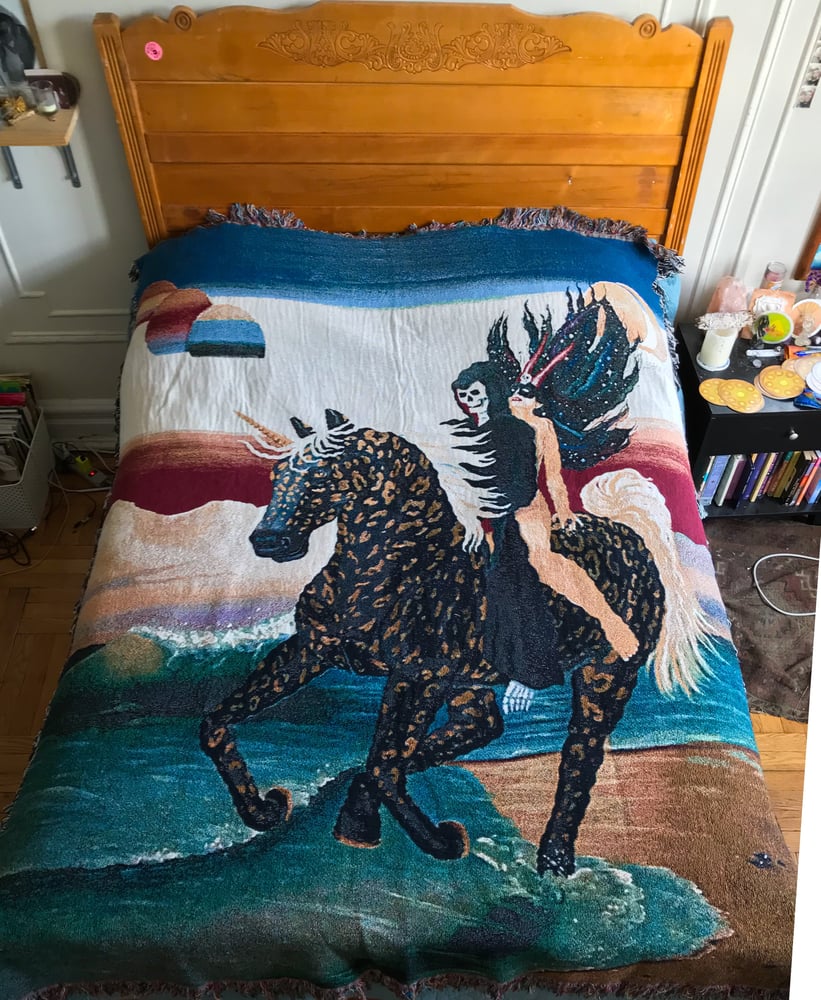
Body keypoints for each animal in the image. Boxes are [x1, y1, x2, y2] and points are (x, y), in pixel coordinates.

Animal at [200, 409, 667, 876]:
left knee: (579, 758)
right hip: (468, 684)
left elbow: (386, 762)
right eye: (278, 474)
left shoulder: (417, 676)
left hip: (605, 677)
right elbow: (216, 722)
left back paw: (554, 859)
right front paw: (267, 810)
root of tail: (631, 536)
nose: (269, 540)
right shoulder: (311, 651)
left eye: (322, 473)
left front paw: (443, 841)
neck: (394, 566)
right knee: (476, 728)